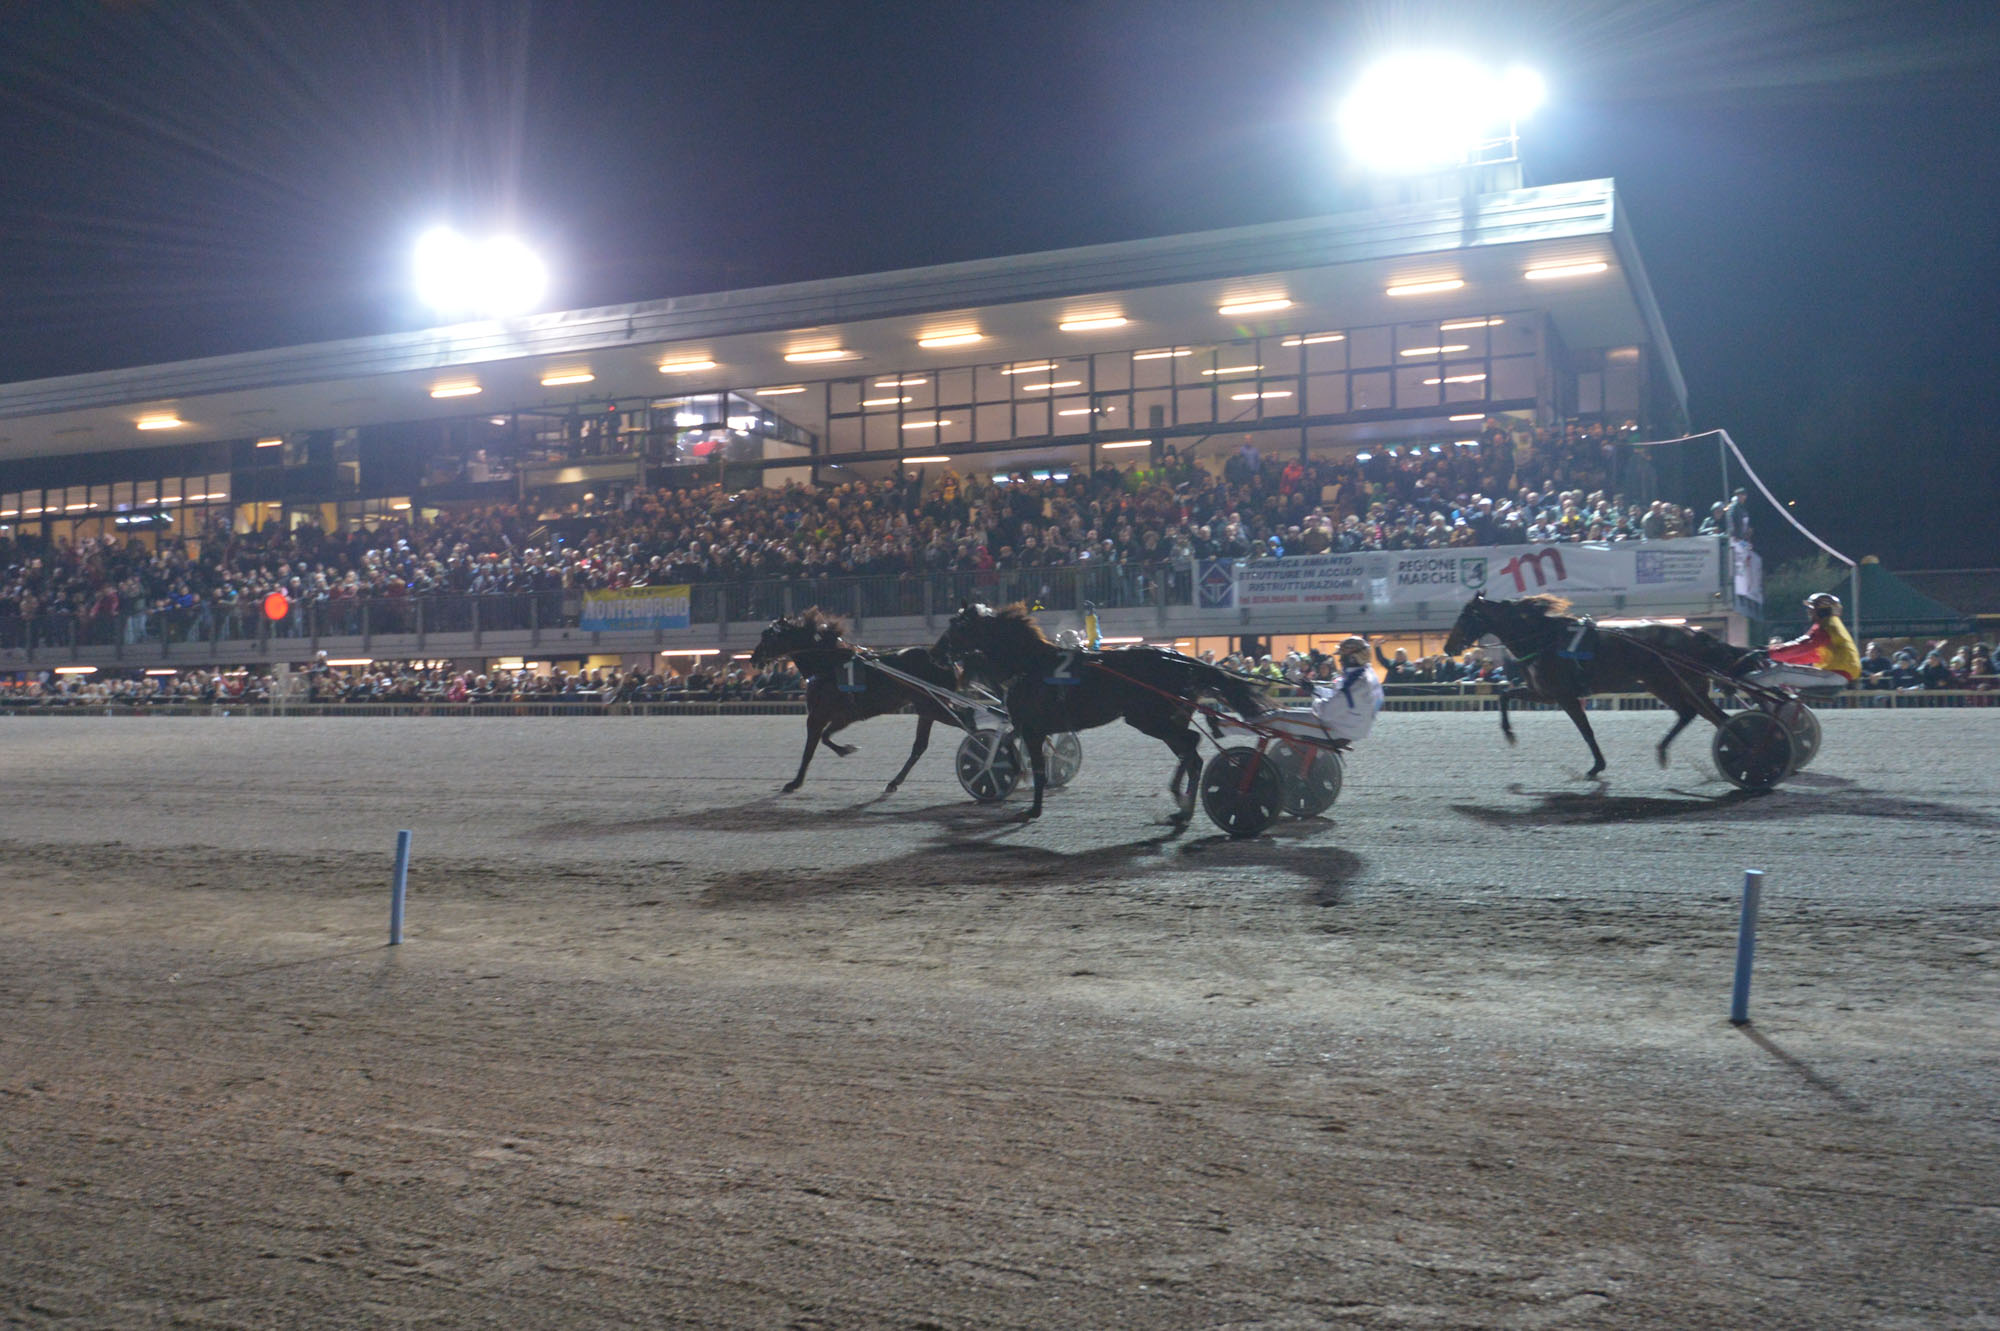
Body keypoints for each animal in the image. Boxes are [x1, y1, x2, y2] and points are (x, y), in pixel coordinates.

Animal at [752, 607, 964, 791]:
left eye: (767, 636)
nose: (753, 659)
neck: (827, 666)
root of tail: (945, 660)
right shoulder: (843, 716)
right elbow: (825, 738)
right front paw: (846, 749)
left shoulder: (818, 716)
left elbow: (809, 750)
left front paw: (795, 783)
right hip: (926, 709)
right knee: (919, 746)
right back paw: (894, 782)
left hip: (935, 706)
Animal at [936, 599, 1264, 819]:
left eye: (957, 625)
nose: (937, 651)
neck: (1030, 665)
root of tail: (1181, 660)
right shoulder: (1027, 728)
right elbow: (1010, 749)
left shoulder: (1032, 729)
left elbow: (1037, 768)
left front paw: (1032, 807)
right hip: (1165, 720)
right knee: (1192, 753)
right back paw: (1183, 806)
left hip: (1151, 719)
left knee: (1191, 747)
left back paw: (1181, 800)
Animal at [1440, 591, 1752, 779]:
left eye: (1465, 616)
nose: (1447, 647)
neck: (1544, 639)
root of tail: (1693, 634)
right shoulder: (1545, 693)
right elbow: (1504, 695)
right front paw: (1509, 733)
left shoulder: (1563, 696)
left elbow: (1586, 731)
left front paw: (1596, 766)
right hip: (1671, 685)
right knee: (1704, 716)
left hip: (1675, 685)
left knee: (1707, 717)